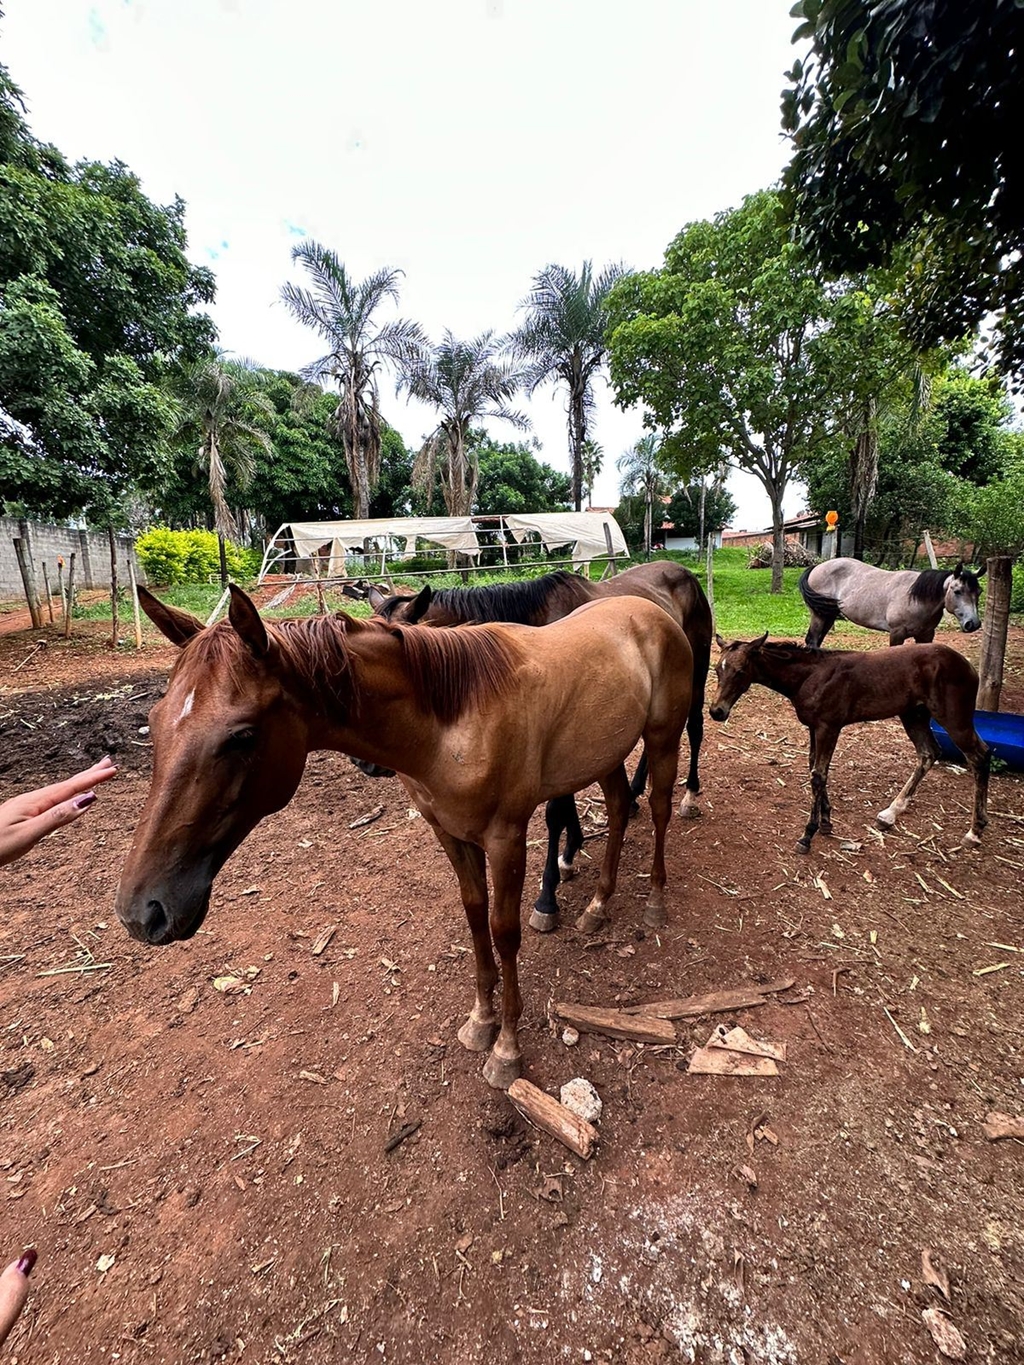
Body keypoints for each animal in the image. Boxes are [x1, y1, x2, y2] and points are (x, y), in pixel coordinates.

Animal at [116, 586, 693, 1086]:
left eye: (242, 736)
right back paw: (597, 905)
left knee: (658, 810)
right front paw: (481, 1022)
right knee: (618, 808)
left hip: (663, 740)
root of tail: (651, 611)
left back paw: (655, 902)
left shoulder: (505, 838)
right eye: (155, 720)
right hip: (606, 755)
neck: (454, 718)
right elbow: (475, 916)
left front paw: (507, 1048)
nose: (143, 911)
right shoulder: (450, 834)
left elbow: (504, 932)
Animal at [360, 559, 715, 922]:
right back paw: (633, 794)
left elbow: (555, 813)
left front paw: (548, 895)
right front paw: (570, 854)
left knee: (695, 728)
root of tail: (683, 573)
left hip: (696, 677)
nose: (366, 764)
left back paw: (690, 795)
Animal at [709, 630, 988, 846]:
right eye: (717, 670)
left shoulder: (828, 727)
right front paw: (826, 822)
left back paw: (974, 831)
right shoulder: (814, 727)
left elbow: (818, 775)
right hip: (914, 715)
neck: (811, 676)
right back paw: (890, 813)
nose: (716, 711)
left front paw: (808, 834)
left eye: (740, 671)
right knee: (929, 752)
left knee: (980, 755)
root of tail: (968, 666)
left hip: (954, 719)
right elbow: (815, 768)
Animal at [802, 556, 988, 647]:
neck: (916, 599)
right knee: (812, 640)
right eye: (957, 591)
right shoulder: (897, 633)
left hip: (828, 615)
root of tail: (817, 567)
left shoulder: (926, 635)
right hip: (818, 615)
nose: (973, 623)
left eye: (979, 592)